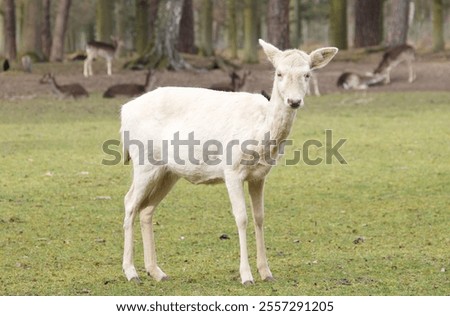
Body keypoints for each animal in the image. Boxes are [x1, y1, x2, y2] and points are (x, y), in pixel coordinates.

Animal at [119, 39, 338, 284]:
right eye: (279, 73)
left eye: (307, 74)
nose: (294, 101)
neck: (260, 131)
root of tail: (124, 111)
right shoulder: (231, 170)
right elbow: (241, 217)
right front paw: (246, 275)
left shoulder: (260, 176)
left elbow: (260, 217)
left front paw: (267, 272)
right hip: (144, 161)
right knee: (130, 202)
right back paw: (131, 272)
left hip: (168, 172)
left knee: (146, 209)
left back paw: (156, 272)